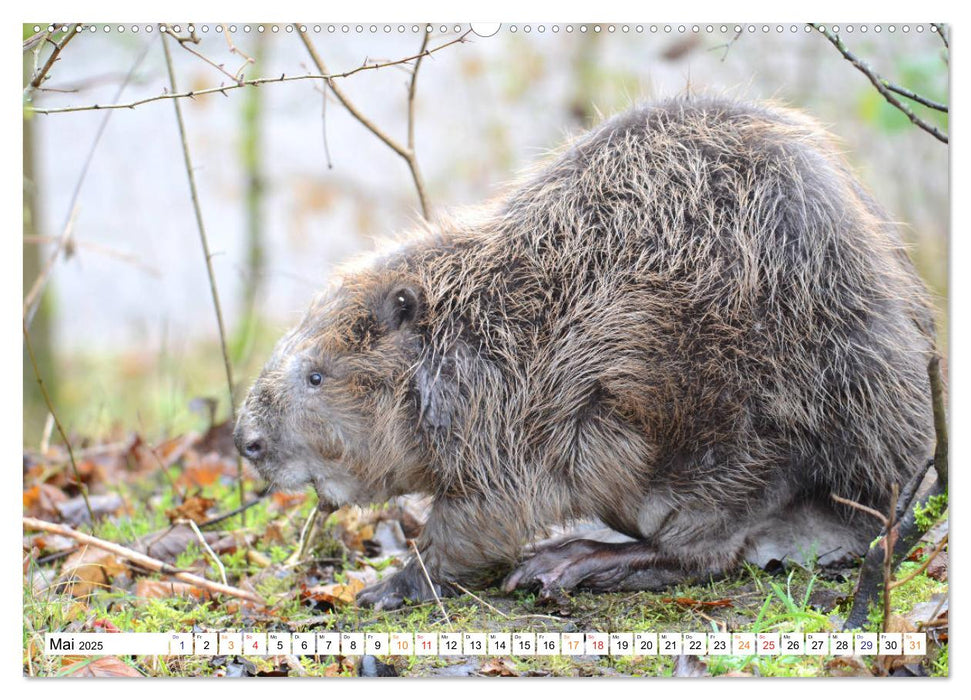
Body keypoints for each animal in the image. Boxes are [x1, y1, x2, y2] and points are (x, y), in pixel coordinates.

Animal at [234, 95, 936, 608]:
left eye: (316, 375)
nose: (247, 441)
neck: (474, 329)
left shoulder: (512, 416)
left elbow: (477, 523)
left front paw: (387, 586)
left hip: (737, 433)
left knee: (706, 551)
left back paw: (567, 562)